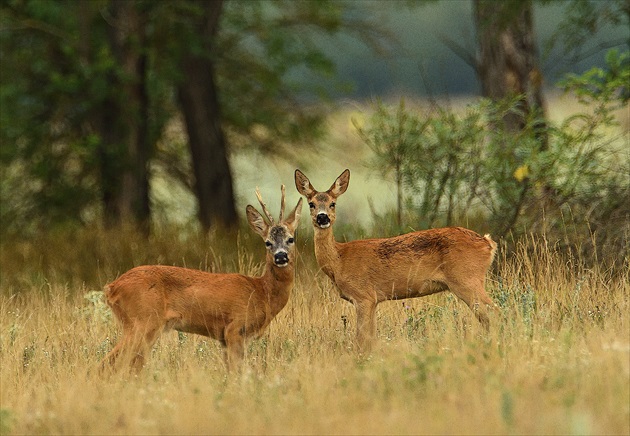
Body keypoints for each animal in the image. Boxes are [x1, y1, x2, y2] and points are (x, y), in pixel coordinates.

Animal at [102, 184, 304, 372]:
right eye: (267, 242)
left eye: (290, 239)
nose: (280, 256)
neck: (262, 292)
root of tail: (112, 288)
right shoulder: (235, 328)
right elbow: (237, 370)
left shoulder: (225, 338)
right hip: (143, 321)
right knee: (110, 362)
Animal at [296, 169, 498, 352]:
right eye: (311, 204)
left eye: (333, 203)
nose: (323, 217)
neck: (339, 260)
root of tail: (488, 243)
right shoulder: (373, 300)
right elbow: (371, 338)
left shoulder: (364, 296)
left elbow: (361, 339)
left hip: (467, 279)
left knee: (495, 311)